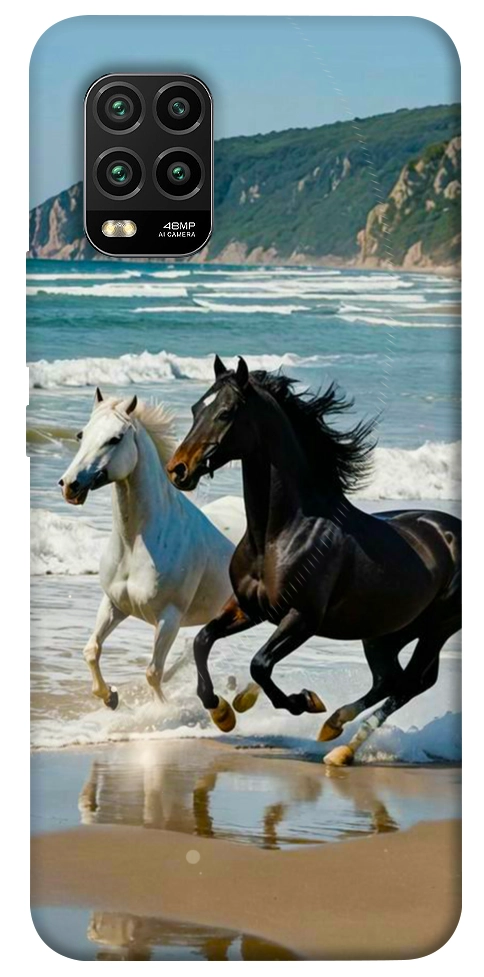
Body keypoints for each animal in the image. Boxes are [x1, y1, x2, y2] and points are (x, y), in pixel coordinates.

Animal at [59, 388, 234, 709]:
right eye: (81, 434)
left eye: (115, 438)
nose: (69, 485)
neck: (135, 544)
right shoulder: (114, 604)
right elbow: (91, 650)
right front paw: (110, 697)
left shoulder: (169, 618)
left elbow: (153, 672)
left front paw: (161, 711)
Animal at [166, 356, 461, 765]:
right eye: (197, 408)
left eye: (225, 413)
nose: (177, 469)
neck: (280, 534)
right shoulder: (248, 608)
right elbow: (202, 641)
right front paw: (223, 711)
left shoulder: (302, 618)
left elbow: (260, 664)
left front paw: (302, 701)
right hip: (386, 632)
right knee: (390, 679)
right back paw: (334, 729)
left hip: (437, 628)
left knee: (411, 683)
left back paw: (341, 746)